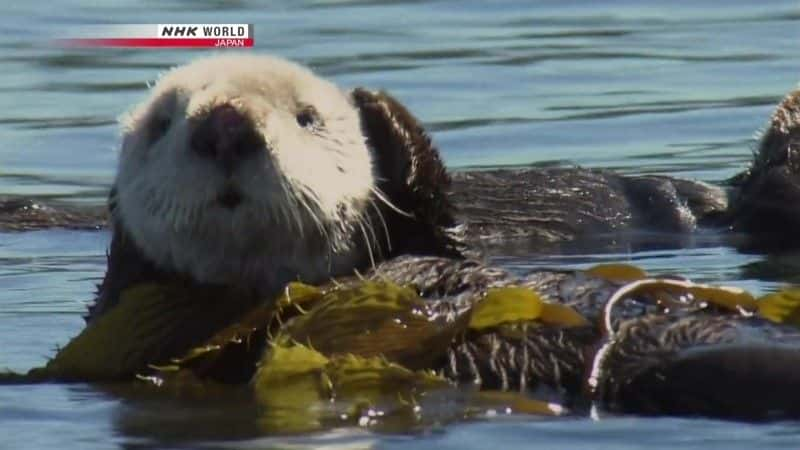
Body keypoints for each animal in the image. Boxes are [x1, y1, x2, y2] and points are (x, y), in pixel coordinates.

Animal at [4, 54, 800, 424]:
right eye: (163, 125)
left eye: (307, 118)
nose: (225, 125)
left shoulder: (432, 238)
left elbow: (442, 228)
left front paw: (380, 113)